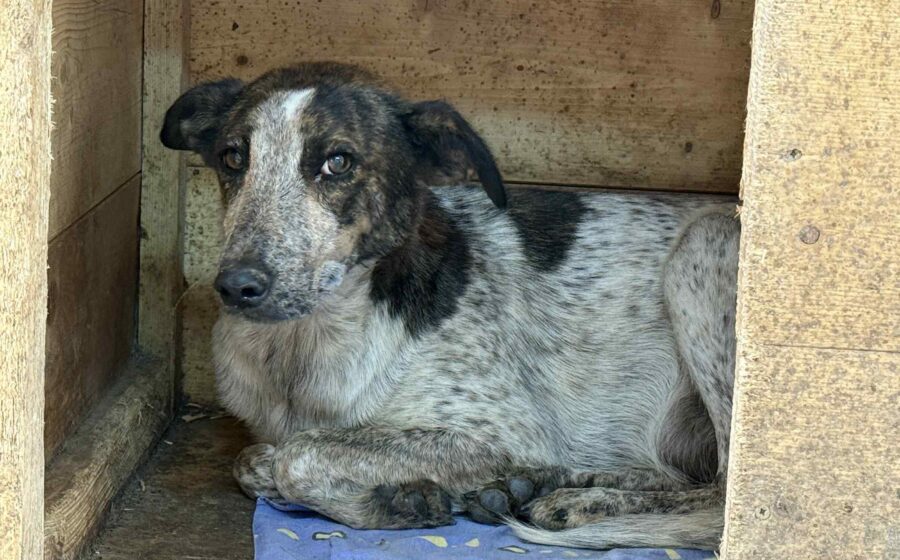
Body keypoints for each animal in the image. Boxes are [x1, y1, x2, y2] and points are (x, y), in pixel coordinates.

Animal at [160, 62, 739, 550]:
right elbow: (257, 461)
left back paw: (582, 502)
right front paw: (402, 497)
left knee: (721, 496)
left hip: (705, 240)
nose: (237, 286)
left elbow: (298, 456)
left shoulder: (503, 431)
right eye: (233, 157)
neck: (302, 349)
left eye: (337, 161)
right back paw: (547, 483)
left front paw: (391, 500)